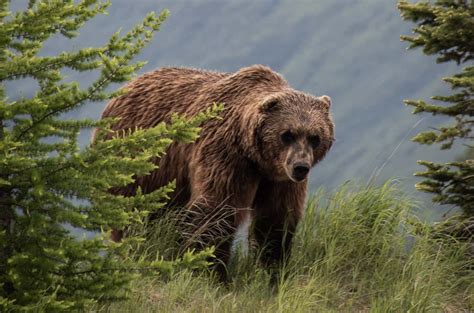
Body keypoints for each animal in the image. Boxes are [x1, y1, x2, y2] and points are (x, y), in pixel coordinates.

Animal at [96, 64, 334, 272]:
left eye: (315, 137)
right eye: (287, 134)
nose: (301, 167)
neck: (254, 155)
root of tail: (124, 88)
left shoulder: (278, 179)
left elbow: (275, 219)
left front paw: (270, 269)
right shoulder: (225, 156)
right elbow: (215, 211)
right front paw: (212, 270)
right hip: (137, 165)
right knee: (134, 215)